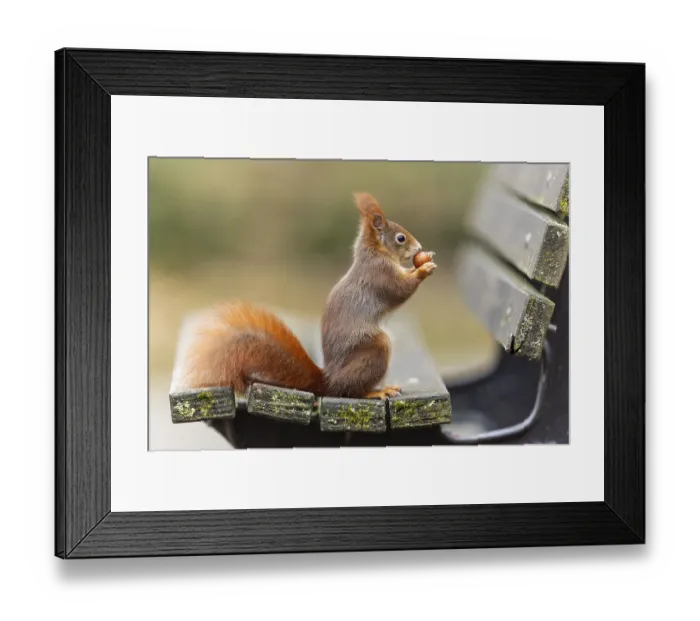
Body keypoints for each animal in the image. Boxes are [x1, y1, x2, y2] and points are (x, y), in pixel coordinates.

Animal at [181, 192, 437, 400]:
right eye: (400, 238)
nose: (419, 247)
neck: (375, 253)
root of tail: (329, 382)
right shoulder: (379, 275)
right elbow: (399, 290)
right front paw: (423, 269)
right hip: (375, 348)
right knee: (353, 391)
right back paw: (378, 391)